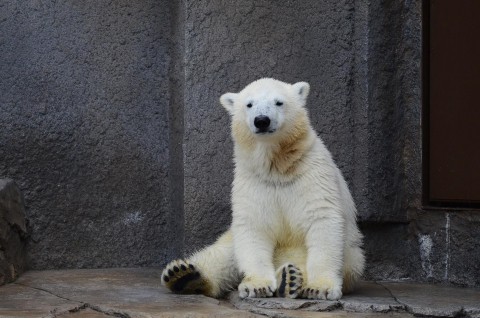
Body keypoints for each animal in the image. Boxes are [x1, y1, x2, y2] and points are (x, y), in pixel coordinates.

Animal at [161, 78, 364, 300]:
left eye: (279, 102)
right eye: (249, 104)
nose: (262, 120)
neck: (278, 167)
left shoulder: (311, 173)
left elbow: (322, 220)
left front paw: (320, 288)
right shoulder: (253, 180)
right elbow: (254, 225)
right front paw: (257, 286)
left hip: (353, 258)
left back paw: (290, 278)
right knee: (222, 255)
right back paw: (183, 275)